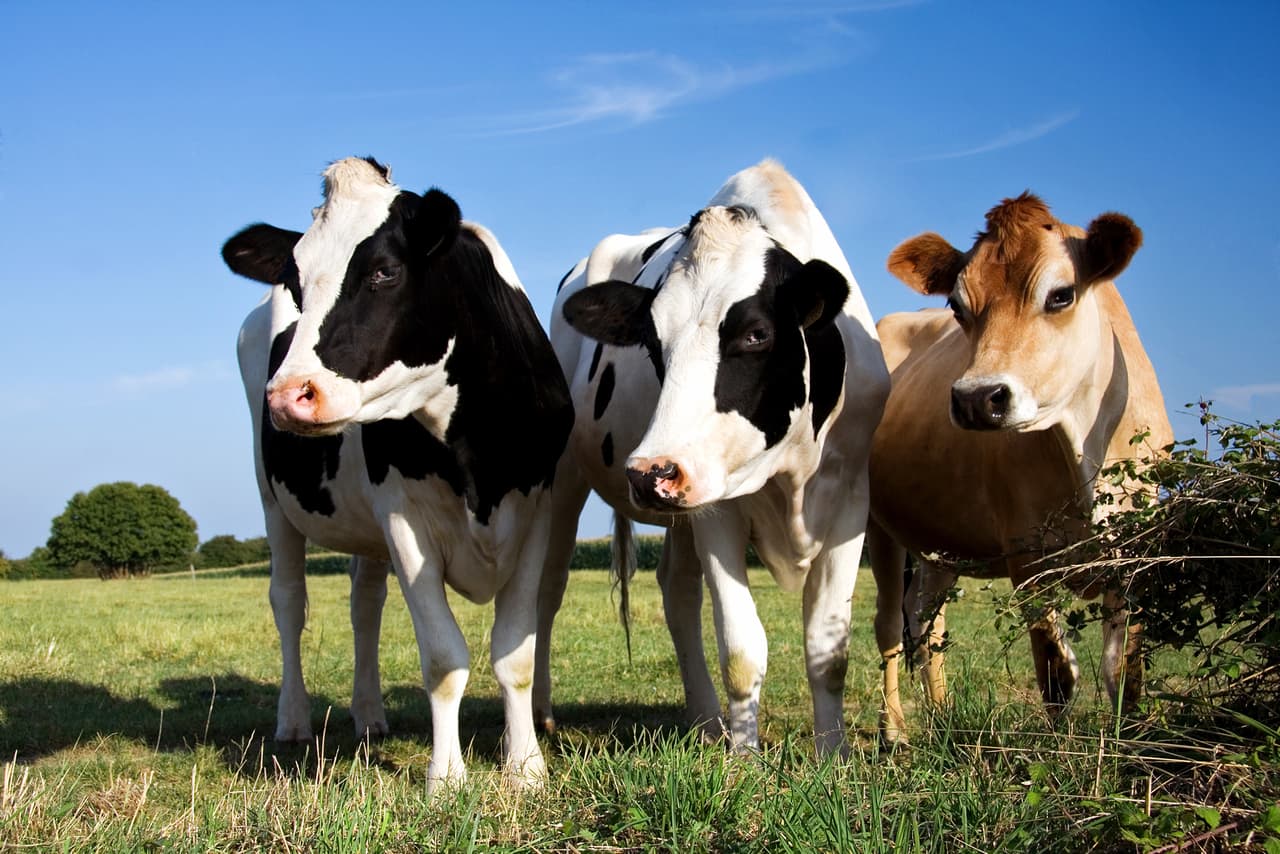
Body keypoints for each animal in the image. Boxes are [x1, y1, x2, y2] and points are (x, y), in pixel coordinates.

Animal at [221, 157, 573, 789]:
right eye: (295, 282)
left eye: (383, 272)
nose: (287, 397)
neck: (475, 454)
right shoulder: (405, 520)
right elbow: (444, 657)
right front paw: (446, 778)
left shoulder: (536, 510)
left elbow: (514, 653)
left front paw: (525, 767)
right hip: (272, 497)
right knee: (288, 602)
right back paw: (294, 719)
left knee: (365, 605)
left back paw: (368, 715)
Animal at [533, 160, 890, 757]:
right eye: (652, 343)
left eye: (756, 333)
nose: (649, 473)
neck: (790, 469)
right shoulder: (718, 507)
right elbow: (743, 649)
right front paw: (746, 761)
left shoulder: (850, 500)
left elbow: (828, 650)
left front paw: (834, 755)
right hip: (565, 479)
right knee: (548, 588)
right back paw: (541, 713)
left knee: (676, 594)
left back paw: (704, 721)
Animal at [866, 193, 1173, 741]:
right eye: (957, 305)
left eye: (1061, 295)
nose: (975, 398)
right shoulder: (1026, 556)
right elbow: (1057, 671)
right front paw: (1058, 749)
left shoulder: (1139, 553)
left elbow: (1124, 669)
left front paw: (1131, 742)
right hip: (878, 528)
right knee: (888, 628)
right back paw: (895, 729)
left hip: (939, 542)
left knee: (926, 619)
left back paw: (942, 716)